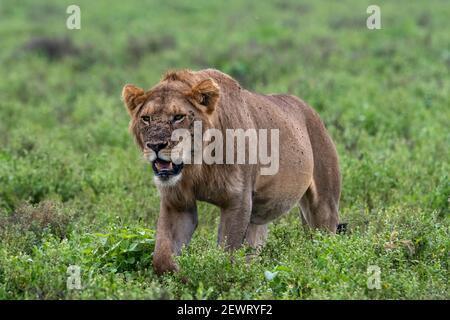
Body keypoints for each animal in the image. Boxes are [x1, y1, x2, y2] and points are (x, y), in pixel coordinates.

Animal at [123, 69, 342, 274]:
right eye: (146, 118)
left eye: (178, 117)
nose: (155, 145)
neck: (198, 165)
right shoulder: (177, 202)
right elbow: (162, 258)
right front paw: (180, 275)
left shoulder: (237, 200)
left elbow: (226, 255)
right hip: (258, 218)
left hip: (323, 205)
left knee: (324, 242)